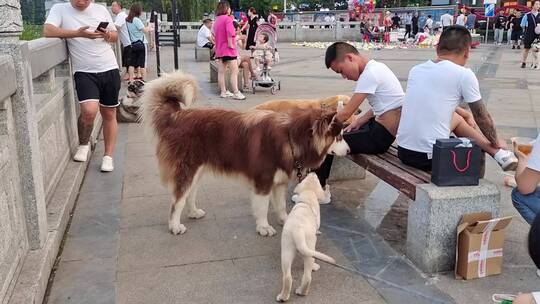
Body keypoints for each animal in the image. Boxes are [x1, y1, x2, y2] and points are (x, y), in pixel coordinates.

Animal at [139, 72, 350, 236]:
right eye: (339, 136)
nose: (349, 150)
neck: (291, 137)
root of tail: (176, 116)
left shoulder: (279, 181)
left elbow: (281, 205)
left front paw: (285, 220)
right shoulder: (263, 180)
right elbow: (263, 207)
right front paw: (264, 227)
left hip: (197, 170)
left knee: (189, 193)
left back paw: (193, 212)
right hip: (186, 169)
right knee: (177, 199)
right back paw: (175, 226)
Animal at [276, 172, 336, 302]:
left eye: (306, 177)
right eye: (317, 178)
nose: (313, 172)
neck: (307, 196)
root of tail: (298, 230)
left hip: (287, 248)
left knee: (287, 277)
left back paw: (283, 297)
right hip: (309, 247)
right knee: (307, 276)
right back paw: (303, 290)